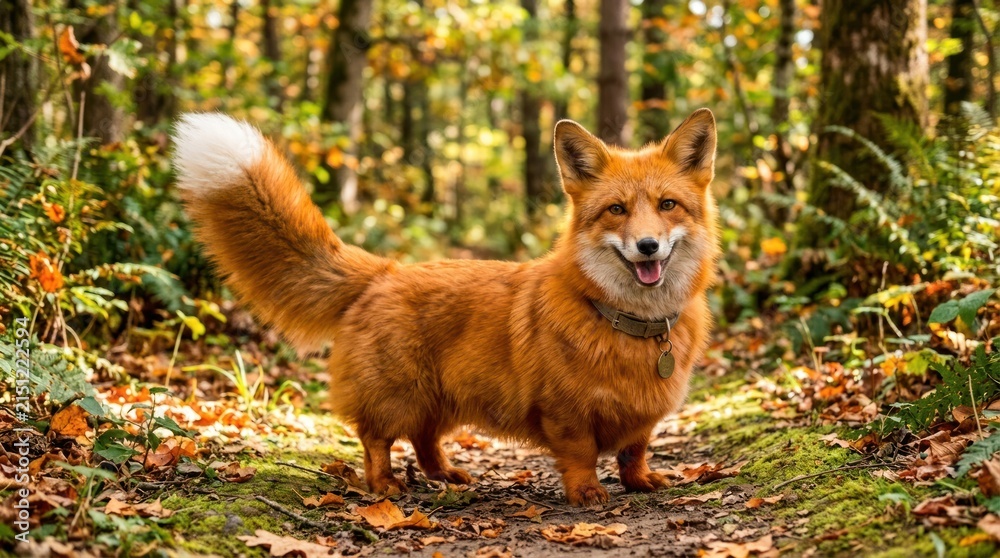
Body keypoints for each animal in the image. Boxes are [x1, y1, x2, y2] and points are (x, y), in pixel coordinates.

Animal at [172, 109, 720, 506]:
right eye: (616, 210)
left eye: (667, 205)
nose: (647, 246)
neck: (631, 324)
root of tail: (385, 271)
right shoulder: (566, 414)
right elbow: (583, 456)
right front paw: (586, 493)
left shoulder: (644, 417)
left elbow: (634, 451)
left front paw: (640, 482)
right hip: (401, 394)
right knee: (378, 440)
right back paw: (385, 486)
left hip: (441, 398)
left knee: (424, 440)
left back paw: (444, 475)